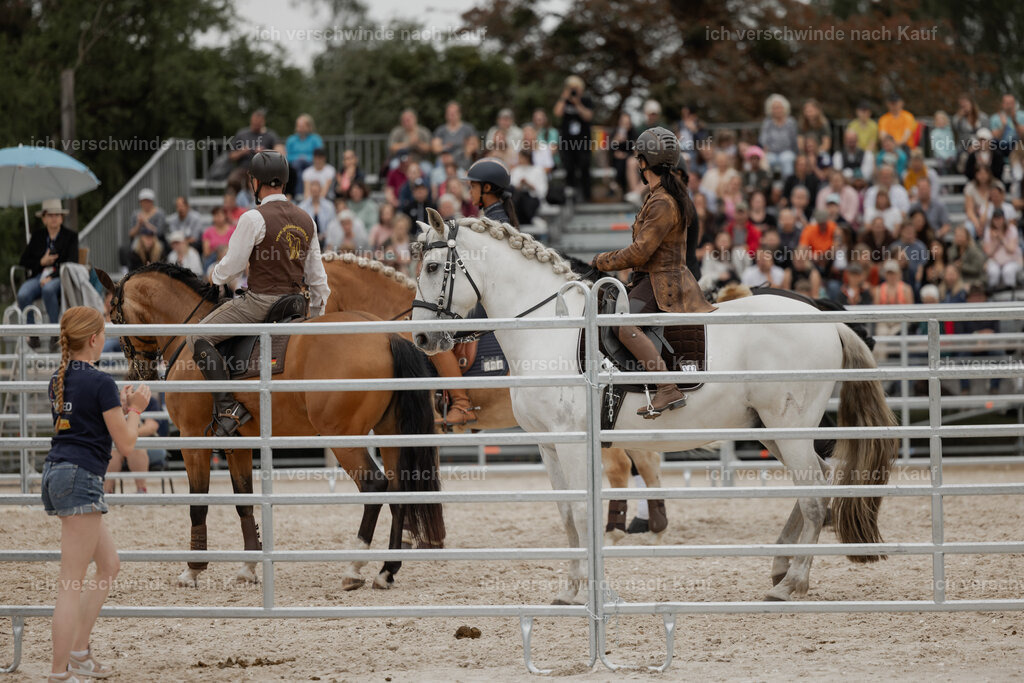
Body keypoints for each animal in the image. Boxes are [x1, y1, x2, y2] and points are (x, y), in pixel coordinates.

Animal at [99, 263, 445, 591]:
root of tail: (386, 336)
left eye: (114, 316)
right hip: (390, 434)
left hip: (343, 437)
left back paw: (354, 568)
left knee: (374, 486)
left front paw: (193, 571)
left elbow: (198, 504)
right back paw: (386, 571)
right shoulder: (236, 445)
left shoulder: (192, 439)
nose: (137, 374)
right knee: (400, 491)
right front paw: (248, 568)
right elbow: (244, 503)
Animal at [411, 209, 898, 604]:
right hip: (770, 430)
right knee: (818, 481)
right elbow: (567, 515)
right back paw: (781, 566)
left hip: (789, 427)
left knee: (814, 495)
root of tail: (826, 321)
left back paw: (792, 583)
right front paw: (570, 589)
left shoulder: (572, 442)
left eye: (433, 267)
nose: (421, 338)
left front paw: (589, 591)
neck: (550, 328)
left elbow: (584, 515)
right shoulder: (548, 445)